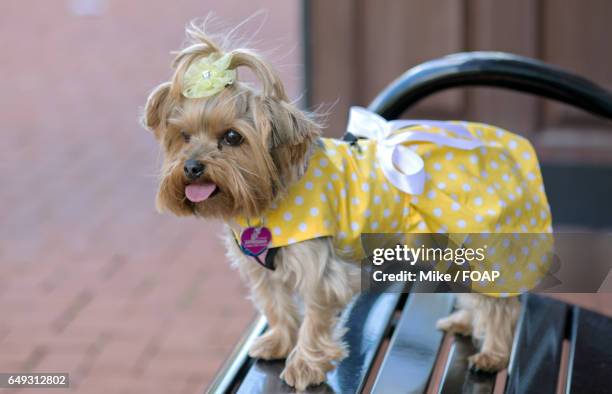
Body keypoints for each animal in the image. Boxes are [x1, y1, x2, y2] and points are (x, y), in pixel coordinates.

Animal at [145, 23, 556, 390]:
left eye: (232, 137)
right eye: (184, 136)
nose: (192, 167)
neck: (269, 200)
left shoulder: (322, 271)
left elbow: (314, 317)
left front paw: (305, 366)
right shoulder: (261, 270)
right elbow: (276, 305)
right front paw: (279, 343)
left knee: (502, 304)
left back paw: (493, 354)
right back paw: (466, 323)